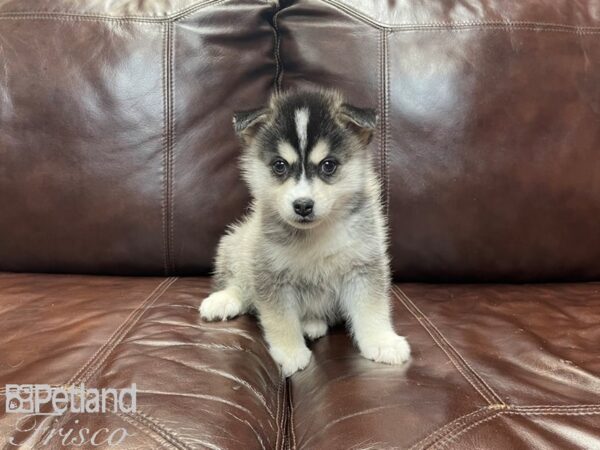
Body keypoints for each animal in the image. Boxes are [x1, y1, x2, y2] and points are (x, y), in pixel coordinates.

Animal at [199, 89, 410, 376]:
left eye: (328, 165)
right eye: (279, 165)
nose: (302, 205)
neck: (315, 234)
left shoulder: (364, 265)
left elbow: (371, 308)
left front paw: (383, 341)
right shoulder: (271, 274)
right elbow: (279, 318)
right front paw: (290, 352)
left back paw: (312, 323)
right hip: (238, 243)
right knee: (238, 283)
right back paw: (223, 300)